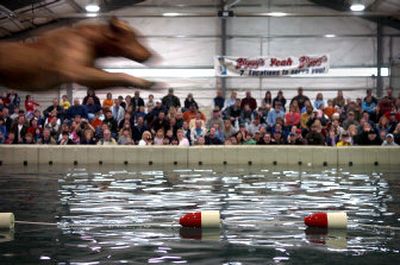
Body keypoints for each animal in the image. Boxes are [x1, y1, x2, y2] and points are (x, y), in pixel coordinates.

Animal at [0, 17, 155, 91]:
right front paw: (144, 82)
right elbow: (118, 74)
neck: (90, 39)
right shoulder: (77, 71)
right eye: (132, 36)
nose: (150, 54)